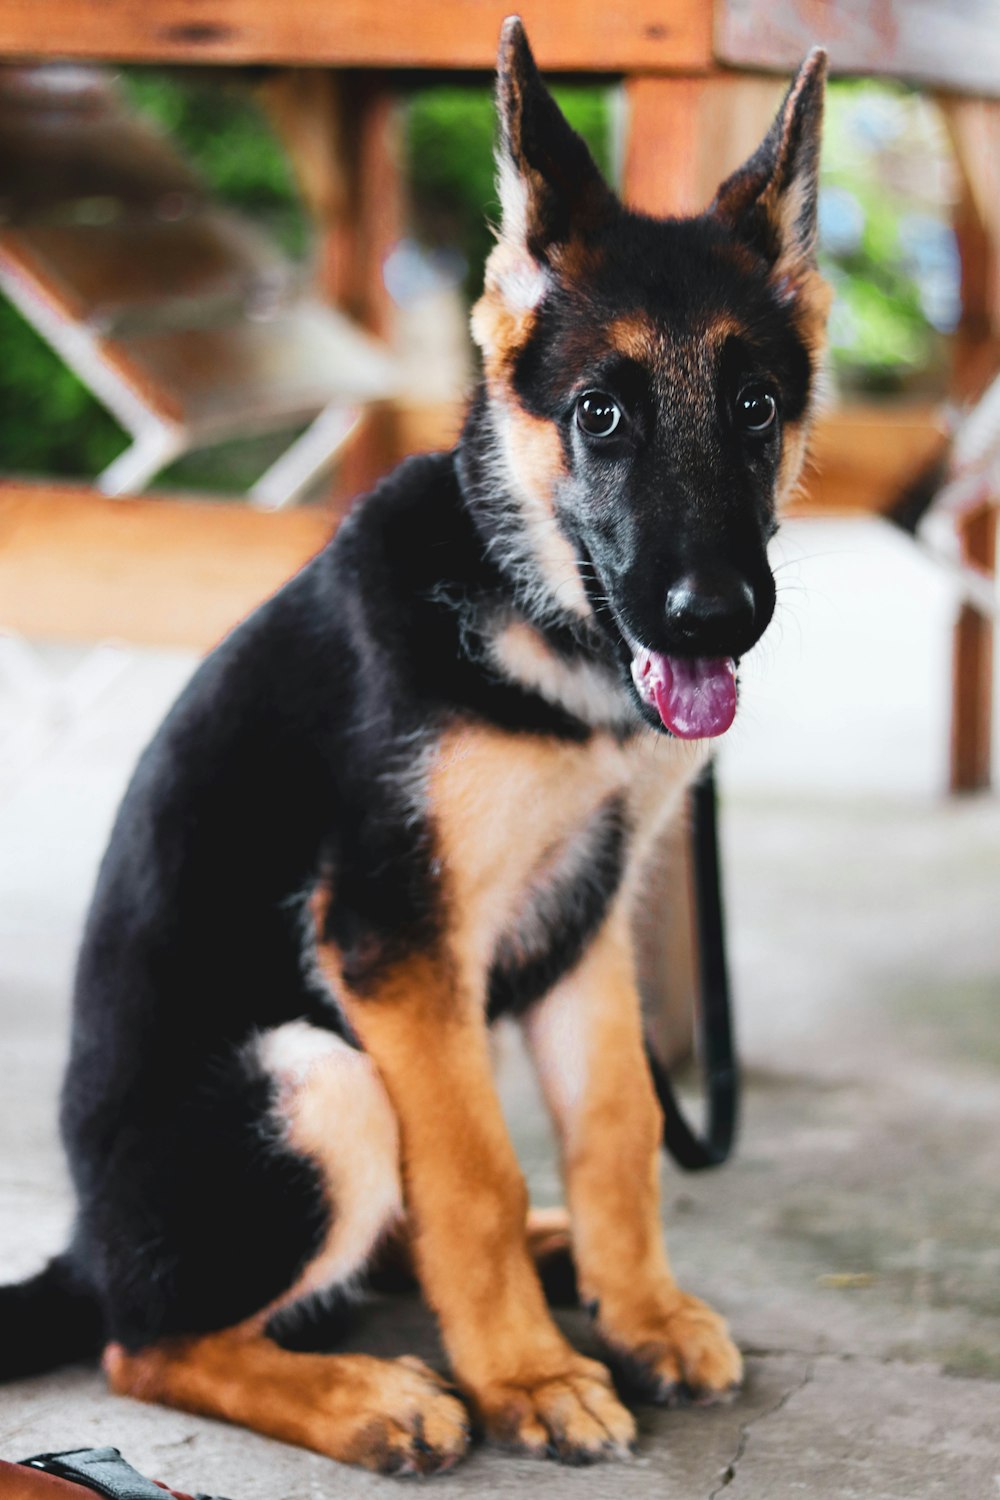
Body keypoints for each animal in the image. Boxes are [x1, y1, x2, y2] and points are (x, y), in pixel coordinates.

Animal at [0, 20, 827, 1476]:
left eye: (757, 408)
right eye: (600, 417)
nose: (713, 618)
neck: (538, 622)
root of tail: (84, 1251)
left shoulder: (585, 926)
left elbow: (615, 1130)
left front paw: (641, 1307)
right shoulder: (395, 942)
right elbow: (476, 1171)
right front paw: (527, 1376)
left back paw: (555, 1270)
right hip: (313, 1078)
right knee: (145, 1343)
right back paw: (371, 1396)